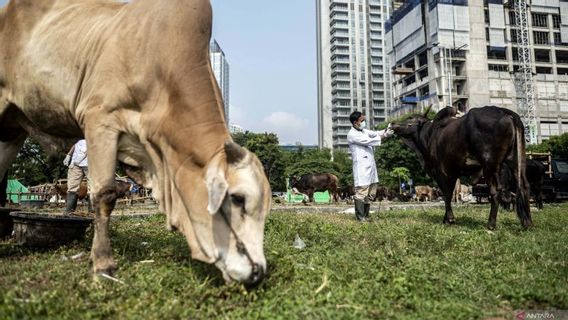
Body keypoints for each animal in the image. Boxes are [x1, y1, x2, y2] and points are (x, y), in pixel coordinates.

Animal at [0, 0, 270, 284]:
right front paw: (103, 264)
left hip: (13, 127)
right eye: (238, 199)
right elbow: (104, 194)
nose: (258, 271)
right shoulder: (100, 120)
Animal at [390, 107, 532, 230]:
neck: (428, 134)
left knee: (496, 191)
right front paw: (446, 218)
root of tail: (502, 110)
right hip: (516, 160)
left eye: (410, 118)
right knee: (524, 186)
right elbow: (449, 194)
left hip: (489, 166)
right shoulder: (453, 173)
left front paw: (449, 219)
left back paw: (491, 224)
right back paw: (527, 222)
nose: (392, 123)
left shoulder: (441, 172)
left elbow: (446, 195)